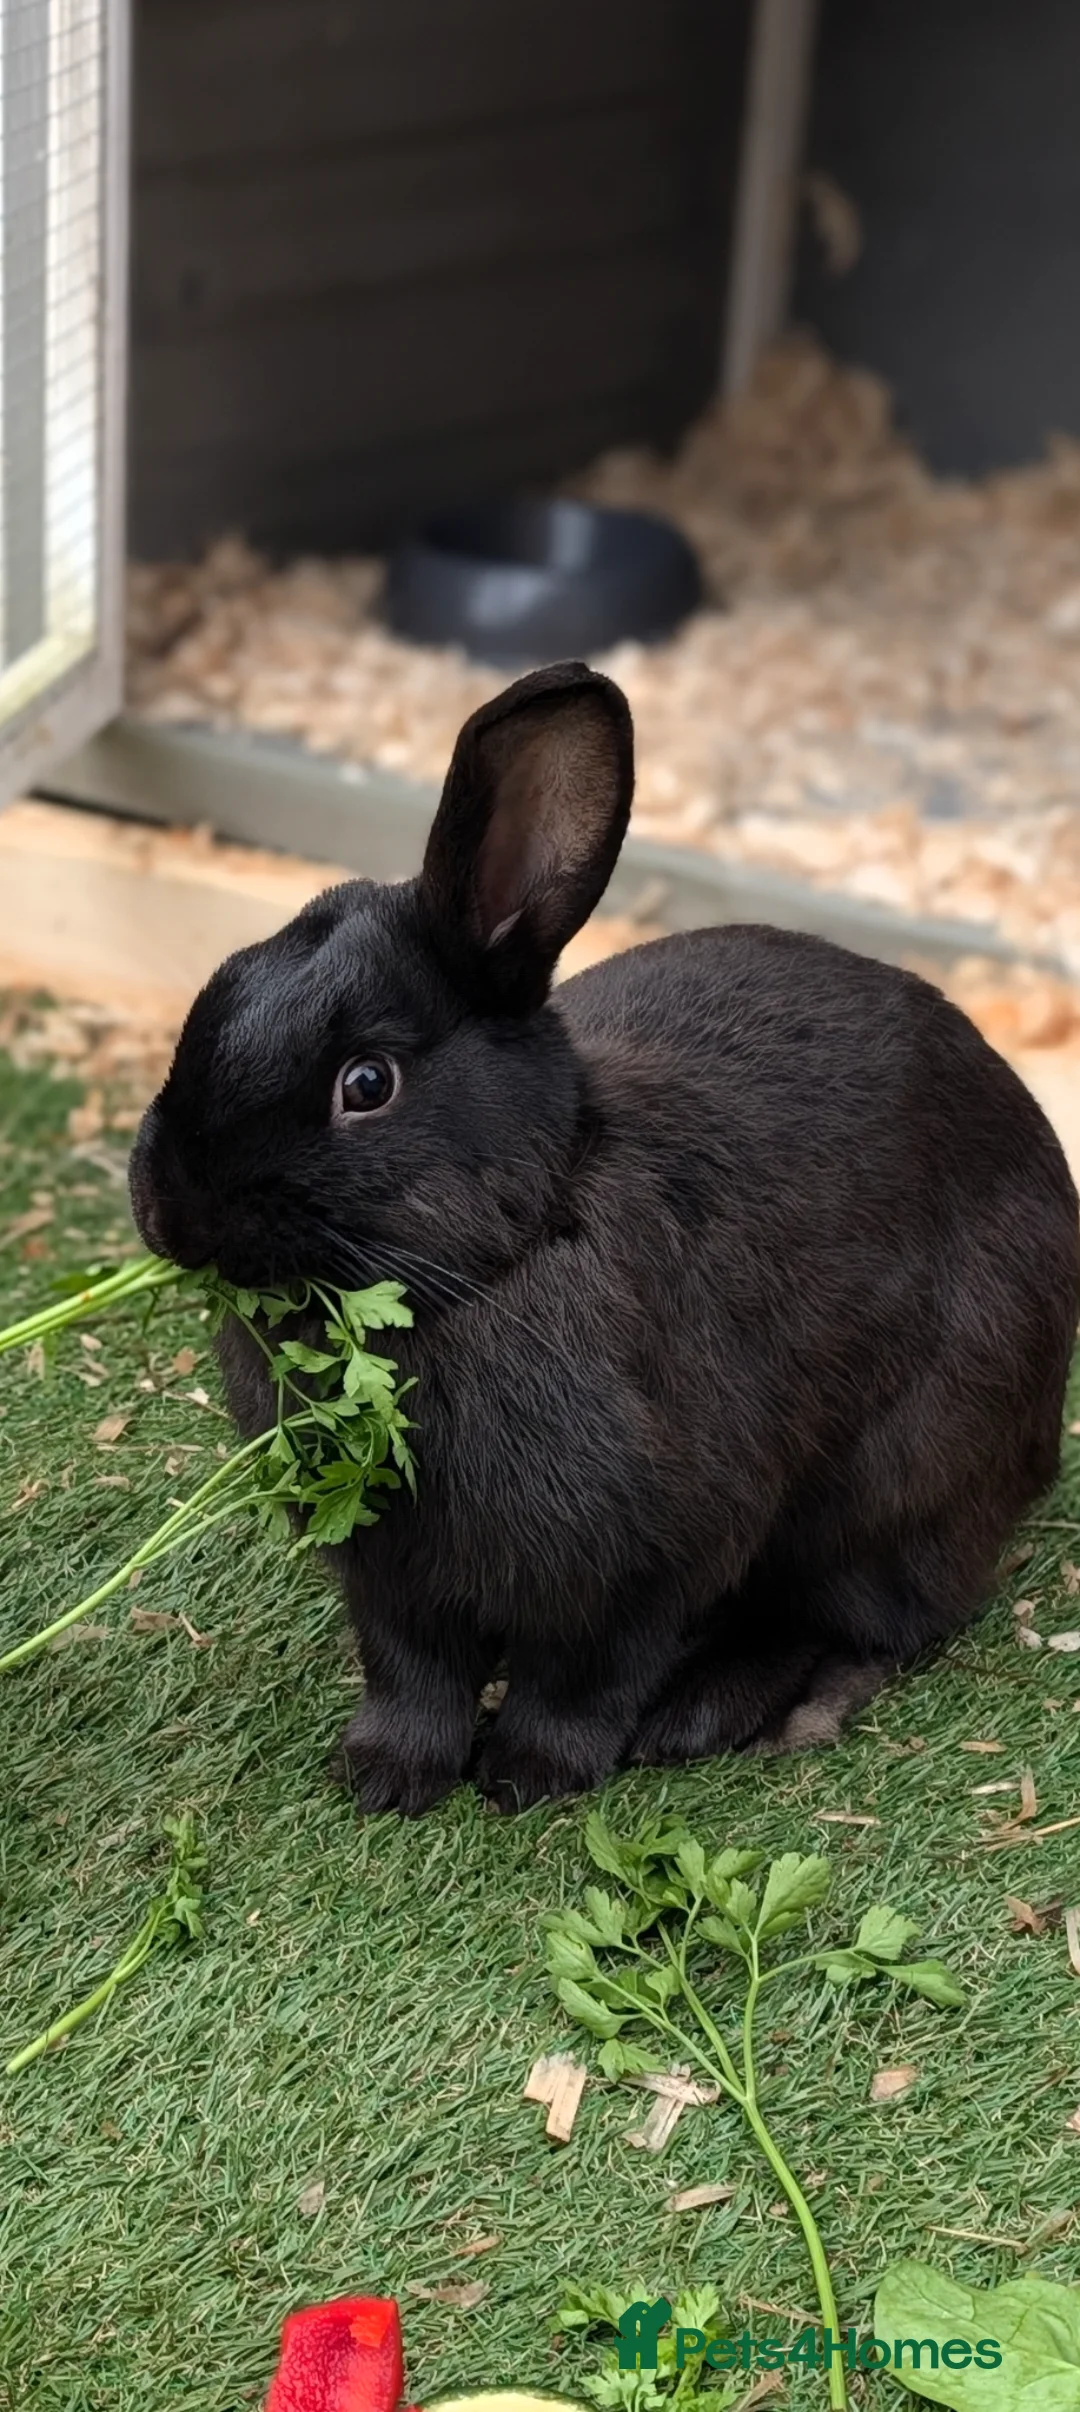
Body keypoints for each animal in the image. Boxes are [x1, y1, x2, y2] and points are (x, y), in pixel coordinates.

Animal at [128, 661, 1080, 1814]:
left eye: (367, 1084)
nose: (168, 1210)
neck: (508, 1247)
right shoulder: (394, 1582)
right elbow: (413, 1673)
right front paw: (387, 1778)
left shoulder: (648, 1560)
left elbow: (583, 1675)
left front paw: (527, 1776)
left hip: (894, 1485)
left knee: (874, 1618)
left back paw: (731, 1711)